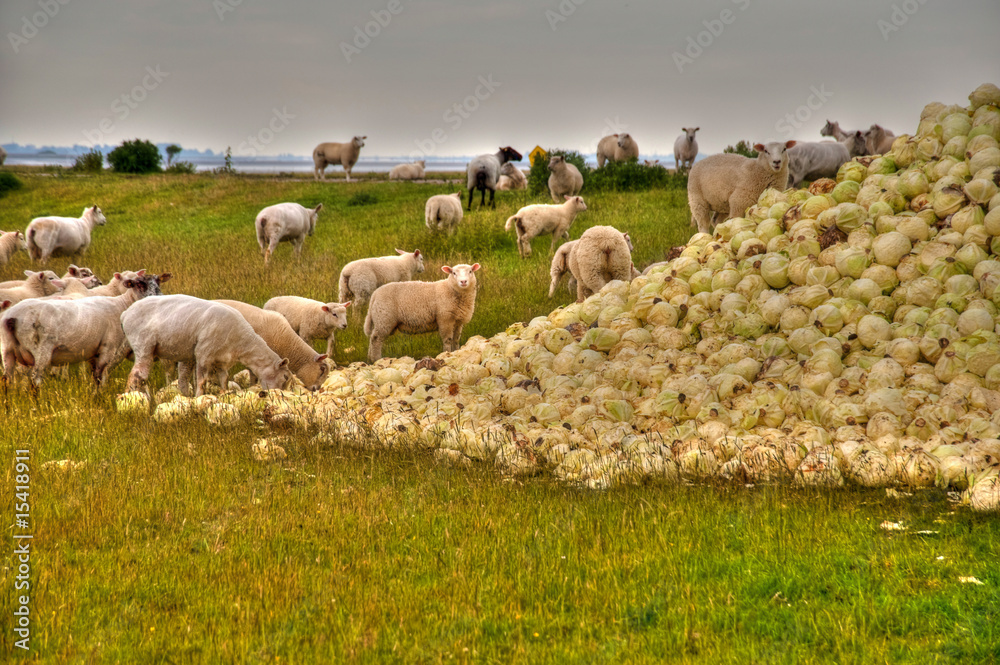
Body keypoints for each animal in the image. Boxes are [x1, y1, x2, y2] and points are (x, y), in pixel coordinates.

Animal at [1, 272, 166, 388]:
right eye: (139, 285)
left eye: (159, 283)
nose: (160, 297)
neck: (122, 304)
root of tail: (12, 317)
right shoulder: (108, 348)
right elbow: (100, 377)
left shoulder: (94, 352)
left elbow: (95, 376)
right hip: (41, 352)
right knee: (34, 381)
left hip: (7, 351)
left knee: (6, 380)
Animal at [121, 294, 292, 397]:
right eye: (285, 377)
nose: (277, 395)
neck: (242, 342)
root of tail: (125, 314)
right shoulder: (203, 354)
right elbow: (201, 381)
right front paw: (198, 398)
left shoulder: (222, 361)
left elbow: (224, 380)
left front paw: (223, 394)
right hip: (143, 345)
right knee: (137, 375)